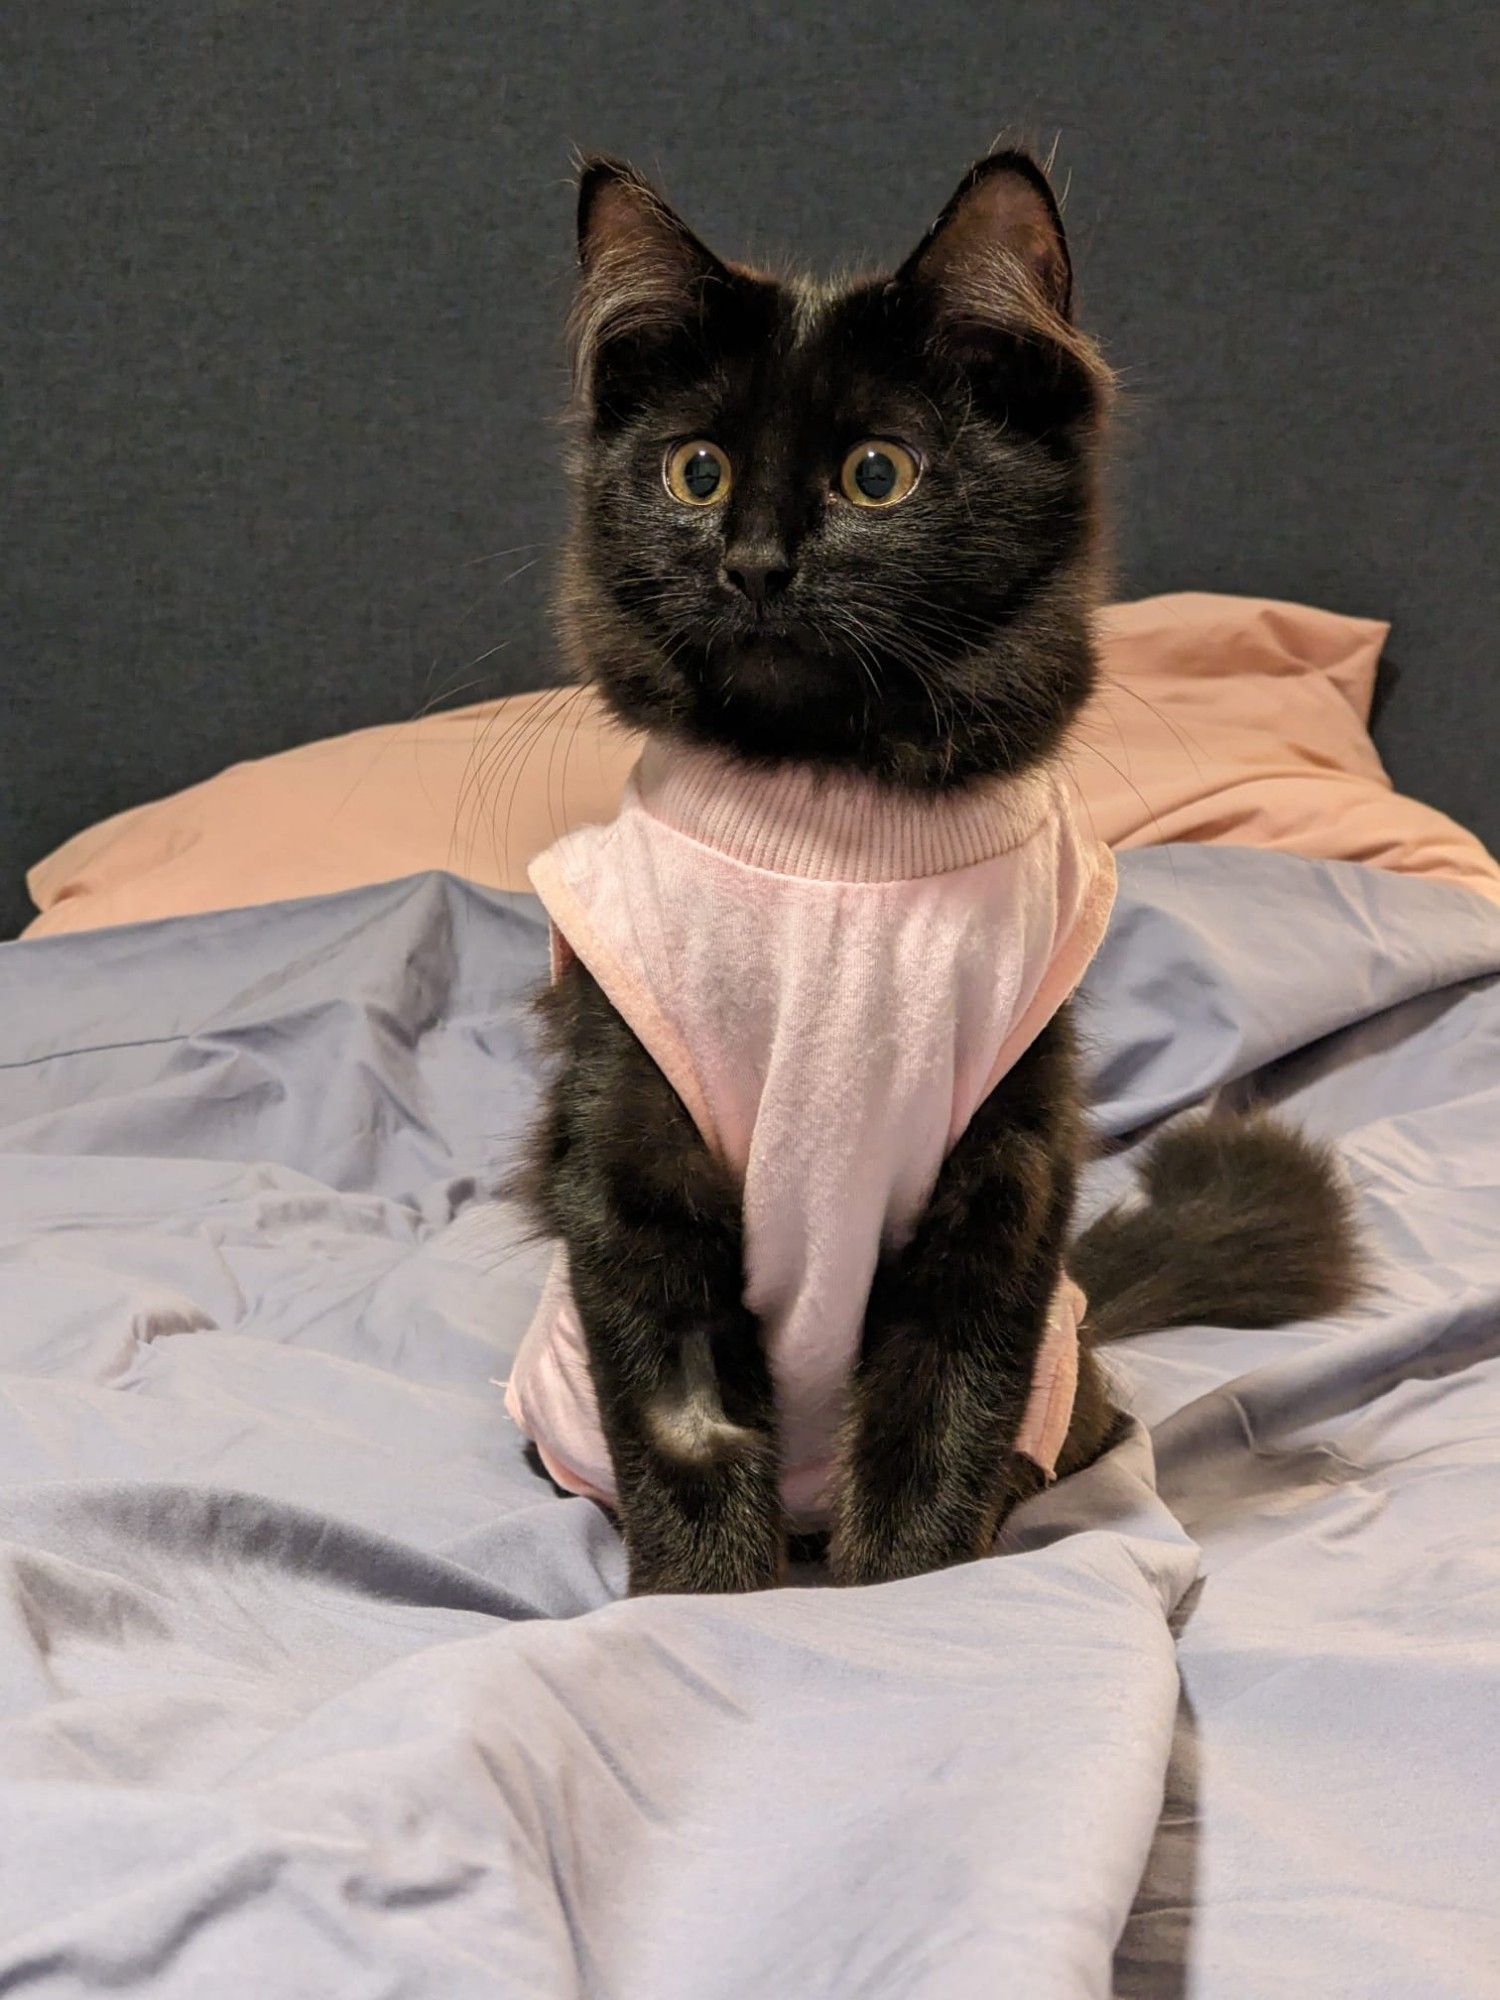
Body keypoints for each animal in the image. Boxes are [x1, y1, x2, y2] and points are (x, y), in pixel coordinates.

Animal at [516, 152, 1360, 1592]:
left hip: (1062, 1367)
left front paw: (912, 1605)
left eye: (877, 474)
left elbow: (935, 1419)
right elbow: (684, 1433)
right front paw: (698, 1606)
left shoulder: (1002, 1174)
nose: (754, 565)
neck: (830, 829)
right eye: (695, 471)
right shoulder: (630, 1158)